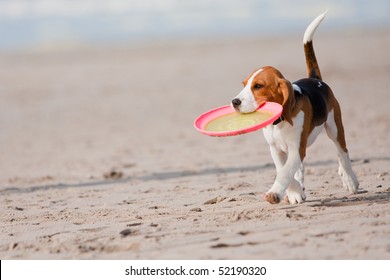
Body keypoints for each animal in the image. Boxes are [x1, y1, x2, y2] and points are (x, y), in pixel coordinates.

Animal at [232, 12, 360, 203]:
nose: (234, 102)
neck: (279, 122)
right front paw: (295, 192)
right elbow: (283, 169)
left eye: (258, 86)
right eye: (244, 84)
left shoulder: (297, 148)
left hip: (335, 127)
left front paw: (275, 193)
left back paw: (350, 180)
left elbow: (285, 172)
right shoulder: (276, 149)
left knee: (342, 153)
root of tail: (315, 79)